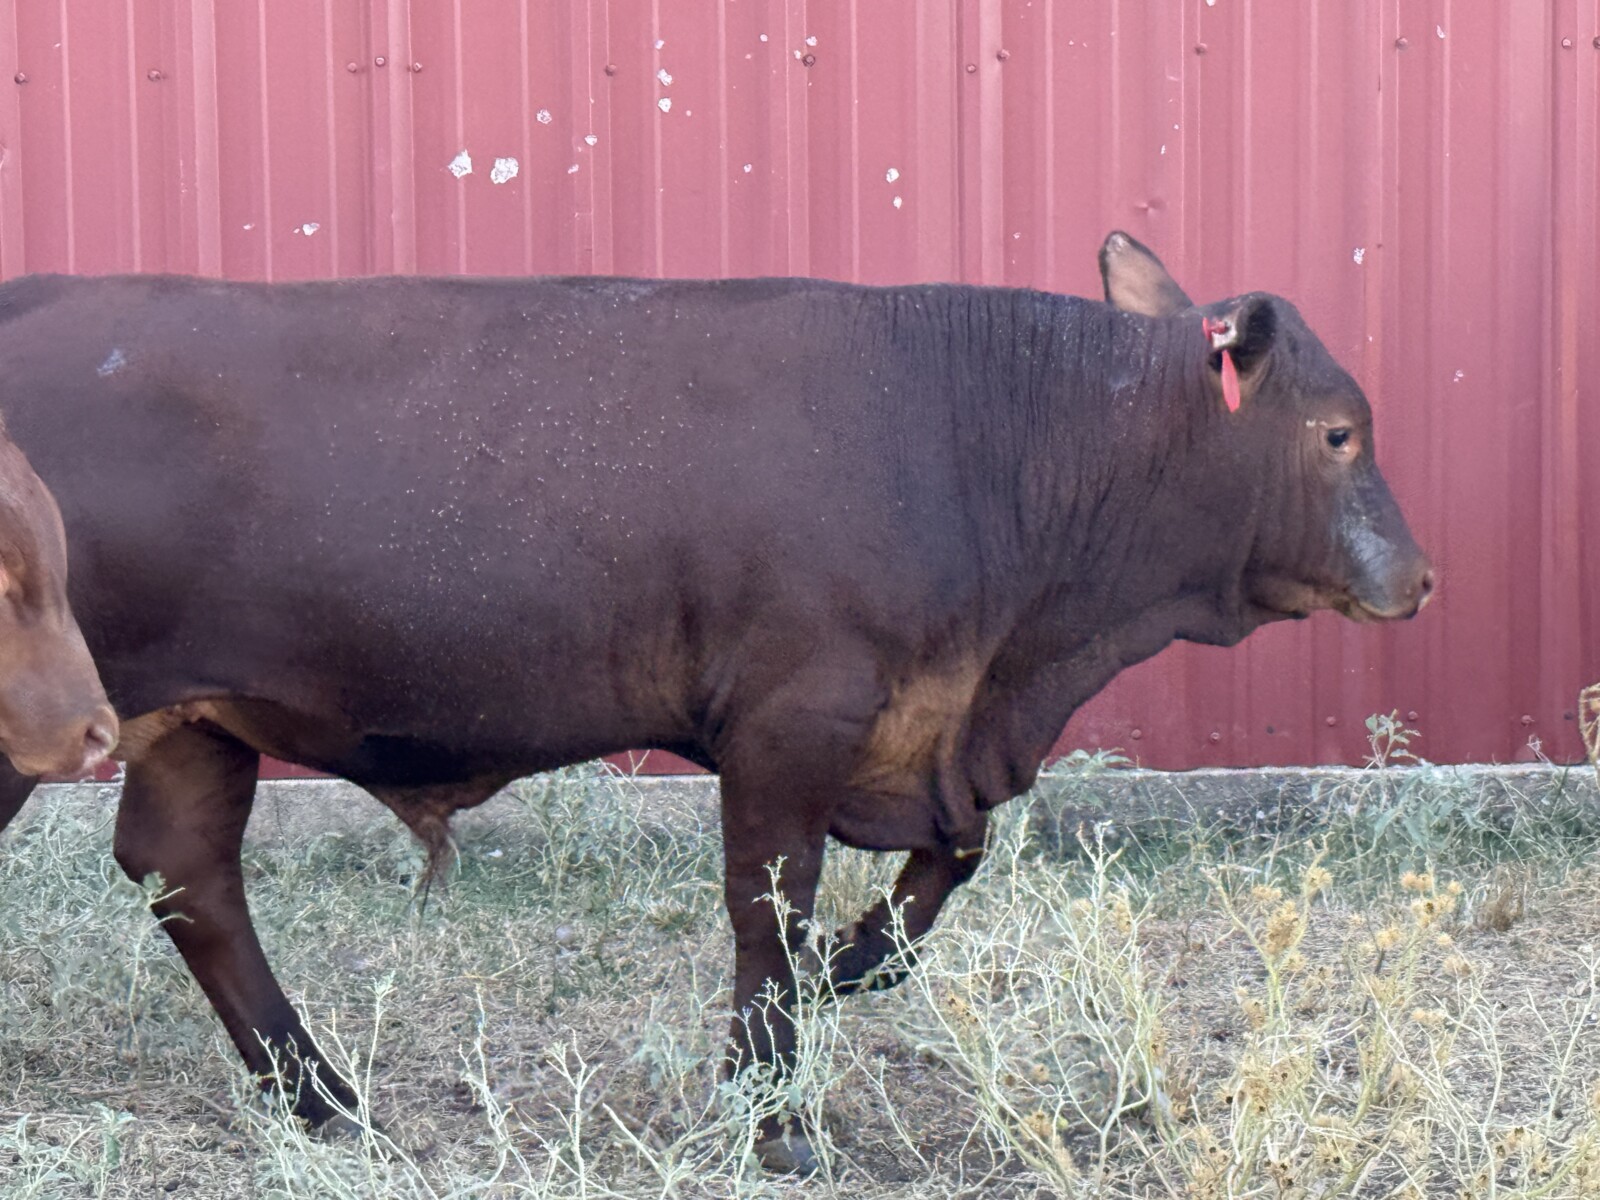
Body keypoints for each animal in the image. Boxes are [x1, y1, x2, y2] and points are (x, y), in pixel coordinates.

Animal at [0, 232, 1430, 1171]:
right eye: (1339, 433)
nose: (1416, 579)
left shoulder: (919, 732)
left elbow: (939, 873)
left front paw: (848, 976)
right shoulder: (795, 715)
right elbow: (770, 907)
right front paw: (773, 1115)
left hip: (195, 721)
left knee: (186, 872)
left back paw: (322, 1100)